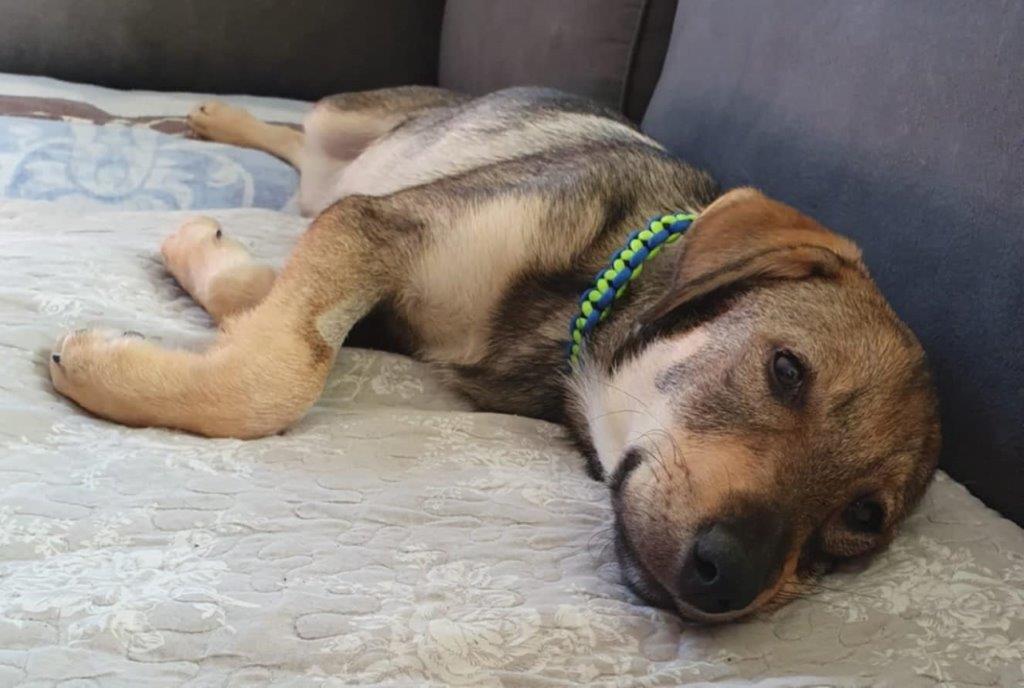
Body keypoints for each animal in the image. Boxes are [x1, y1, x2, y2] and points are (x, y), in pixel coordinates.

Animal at [48, 87, 941, 622]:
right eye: (786, 370)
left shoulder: (369, 270)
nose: (728, 578)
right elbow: (281, 373)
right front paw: (103, 360)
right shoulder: (379, 225)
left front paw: (201, 268)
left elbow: (272, 321)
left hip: (331, 182)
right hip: (357, 119)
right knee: (302, 132)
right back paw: (217, 118)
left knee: (304, 162)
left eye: (864, 519)